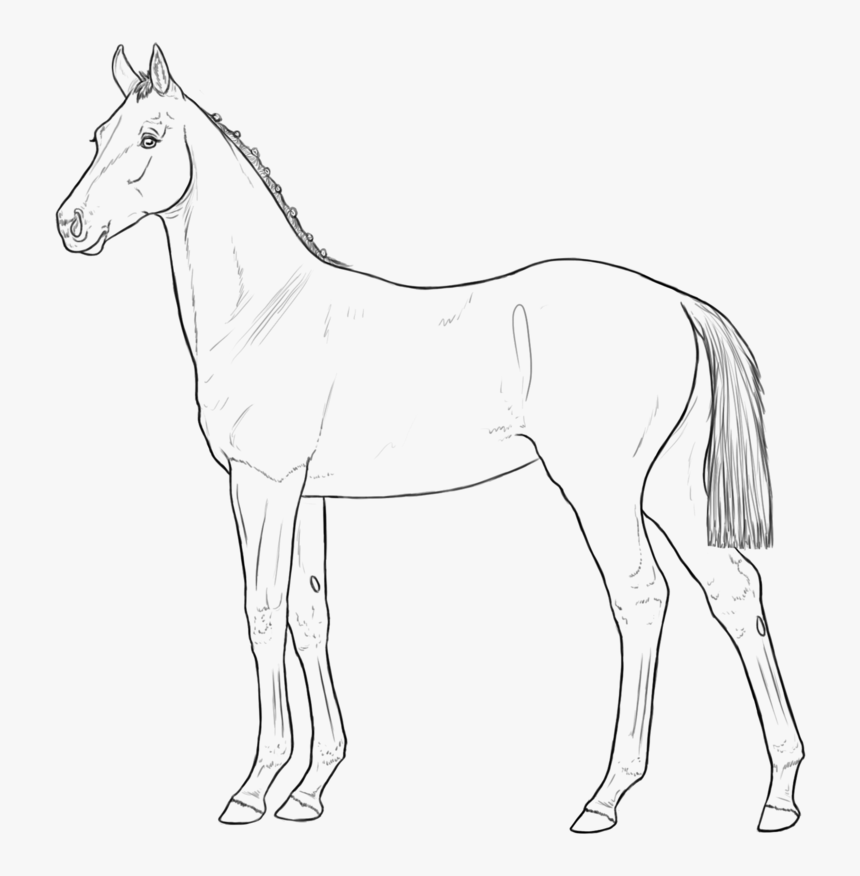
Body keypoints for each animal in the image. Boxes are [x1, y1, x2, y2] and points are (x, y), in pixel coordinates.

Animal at [56, 44, 804, 833]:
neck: (267, 310)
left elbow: (262, 612)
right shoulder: (310, 495)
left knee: (640, 598)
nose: (70, 223)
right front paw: (311, 788)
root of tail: (681, 304)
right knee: (734, 592)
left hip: (604, 489)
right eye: (96, 137)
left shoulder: (262, 483)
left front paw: (255, 788)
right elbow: (310, 615)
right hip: (668, 489)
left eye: (149, 138)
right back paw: (780, 792)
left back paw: (606, 795)